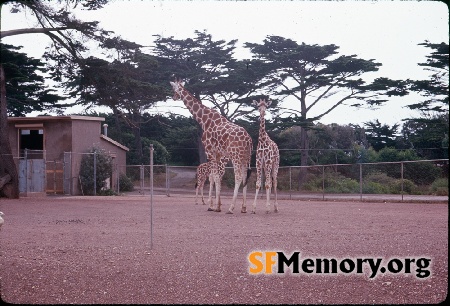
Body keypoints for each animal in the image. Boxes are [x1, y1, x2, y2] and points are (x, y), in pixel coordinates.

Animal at [170, 79, 253, 213]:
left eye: (174, 89)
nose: (174, 97)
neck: (204, 120)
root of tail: (248, 139)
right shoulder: (218, 154)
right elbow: (216, 177)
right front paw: (216, 205)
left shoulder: (209, 151)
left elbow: (214, 176)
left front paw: (213, 206)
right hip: (245, 157)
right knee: (245, 176)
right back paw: (243, 208)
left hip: (236, 156)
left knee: (239, 177)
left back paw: (231, 208)